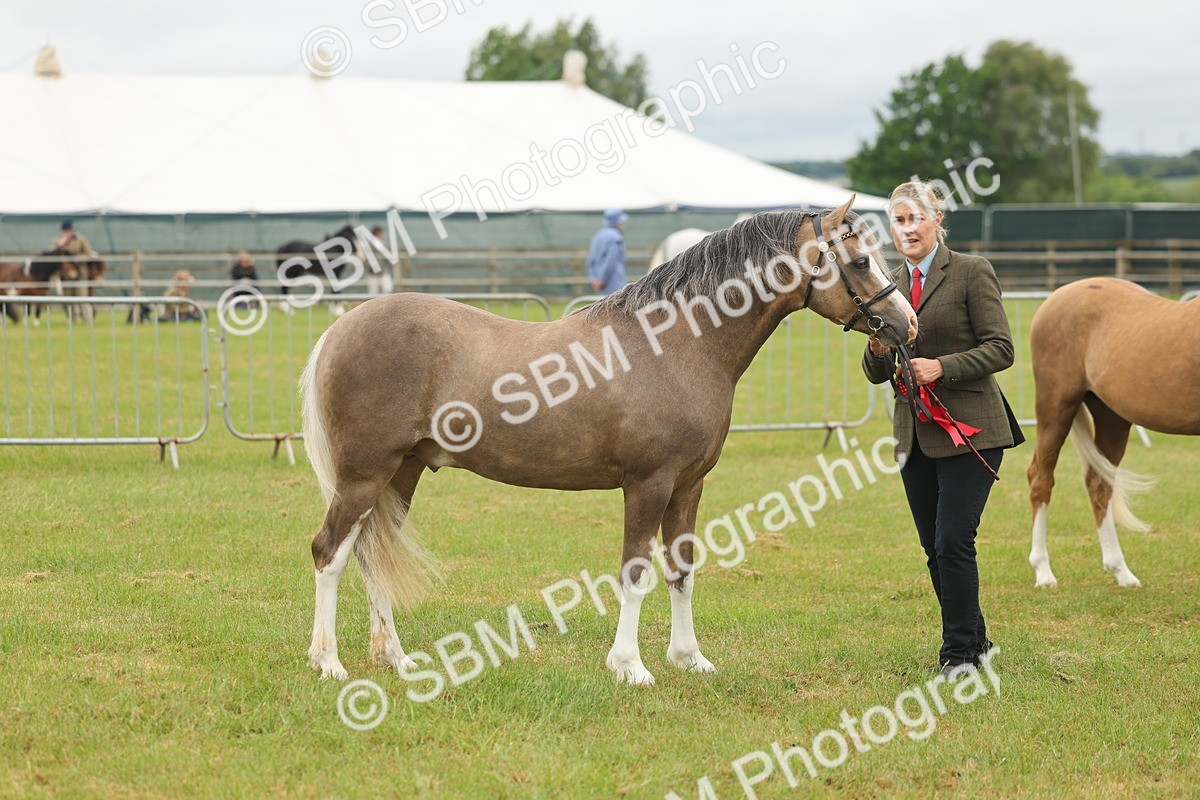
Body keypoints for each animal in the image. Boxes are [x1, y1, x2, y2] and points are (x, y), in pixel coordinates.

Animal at [298, 196, 918, 685]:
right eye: (860, 260)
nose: (906, 324)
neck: (676, 343)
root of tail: (340, 327)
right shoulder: (648, 484)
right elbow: (635, 572)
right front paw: (630, 666)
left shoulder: (689, 486)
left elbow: (681, 570)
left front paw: (690, 658)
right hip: (364, 475)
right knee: (330, 551)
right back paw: (328, 662)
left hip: (400, 475)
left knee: (373, 554)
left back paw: (396, 659)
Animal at [1026, 278, 1200, 589]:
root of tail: (1056, 296)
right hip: (1055, 409)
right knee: (1040, 480)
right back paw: (1043, 572)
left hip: (1112, 417)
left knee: (1099, 483)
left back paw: (1121, 571)